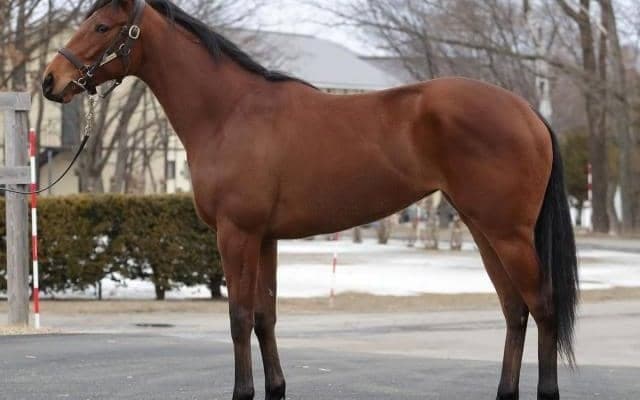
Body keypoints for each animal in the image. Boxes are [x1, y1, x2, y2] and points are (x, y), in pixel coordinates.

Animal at [42, 1, 578, 399]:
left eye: (101, 26)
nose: (50, 81)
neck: (230, 112)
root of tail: (527, 110)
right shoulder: (265, 239)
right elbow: (265, 317)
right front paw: (276, 388)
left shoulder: (236, 235)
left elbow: (238, 317)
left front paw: (243, 392)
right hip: (483, 229)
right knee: (515, 310)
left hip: (508, 234)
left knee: (543, 305)